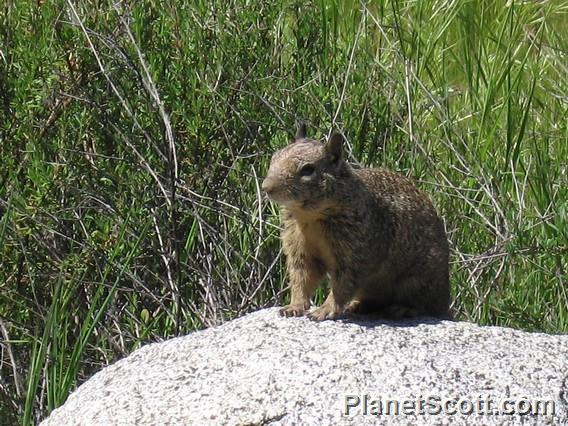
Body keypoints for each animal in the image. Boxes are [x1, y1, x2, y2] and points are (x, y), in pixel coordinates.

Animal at [262, 123, 452, 320]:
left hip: (418, 281)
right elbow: (301, 278)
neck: (310, 216)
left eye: (308, 169)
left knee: (426, 306)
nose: (266, 187)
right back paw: (356, 306)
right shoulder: (299, 248)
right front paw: (294, 306)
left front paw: (324, 310)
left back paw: (403, 309)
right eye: (274, 157)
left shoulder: (353, 252)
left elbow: (342, 285)